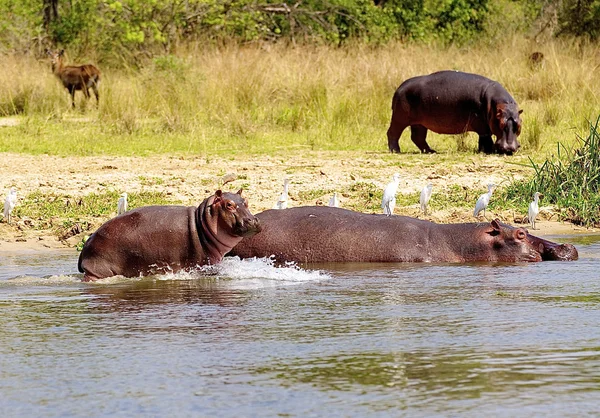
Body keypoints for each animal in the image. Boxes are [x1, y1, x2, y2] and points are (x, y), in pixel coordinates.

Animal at [77, 189, 260, 280]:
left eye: (246, 201)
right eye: (229, 204)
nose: (253, 220)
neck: (203, 222)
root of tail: (87, 242)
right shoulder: (204, 265)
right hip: (98, 272)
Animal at [386, 70, 524, 155]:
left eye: (518, 125)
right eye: (500, 123)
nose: (509, 149)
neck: (500, 106)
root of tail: (399, 88)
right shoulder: (482, 126)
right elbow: (485, 139)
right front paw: (489, 150)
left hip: (419, 123)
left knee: (417, 137)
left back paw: (431, 151)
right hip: (400, 117)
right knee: (393, 132)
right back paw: (395, 151)